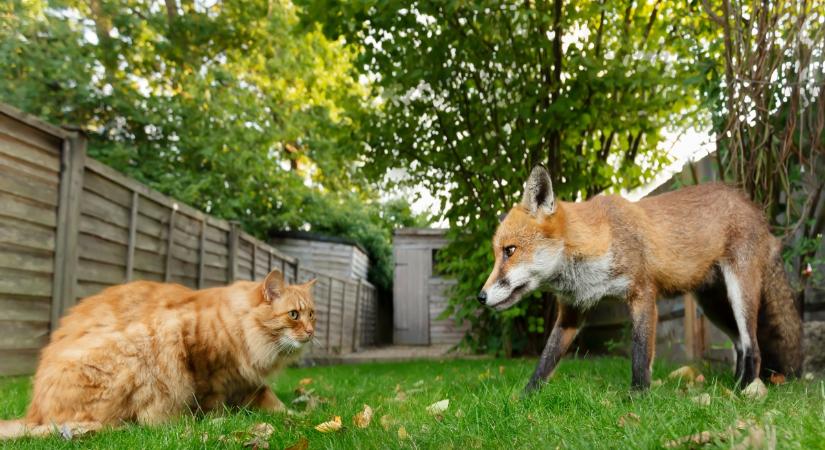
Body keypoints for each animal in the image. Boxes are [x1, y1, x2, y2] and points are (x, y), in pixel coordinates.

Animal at [0, 268, 316, 438]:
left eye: (313, 314)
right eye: (294, 315)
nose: (312, 332)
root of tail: (34, 413)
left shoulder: (246, 379)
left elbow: (272, 400)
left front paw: (300, 415)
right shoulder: (204, 366)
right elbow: (212, 401)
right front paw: (221, 418)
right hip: (147, 344)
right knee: (146, 424)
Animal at [480, 167, 800, 392]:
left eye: (510, 251)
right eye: (497, 254)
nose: (480, 297)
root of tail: (752, 205)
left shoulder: (643, 292)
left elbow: (639, 352)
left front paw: (637, 398)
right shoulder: (572, 312)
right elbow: (545, 361)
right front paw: (525, 398)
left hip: (739, 294)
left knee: (753, 346)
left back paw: (744, 391)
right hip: (714, 307)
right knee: (740, 345)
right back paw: (734, 384)